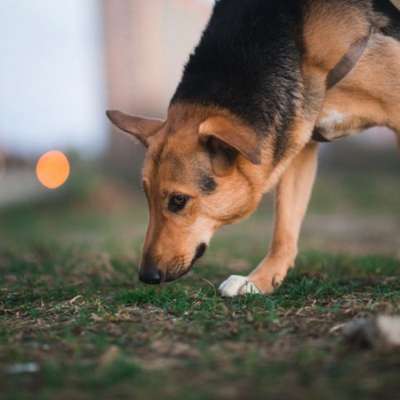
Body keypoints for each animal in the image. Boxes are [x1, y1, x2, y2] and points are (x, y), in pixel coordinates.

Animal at [105, 0, 400, 296]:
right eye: (146, 196)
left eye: (179, 200)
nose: (146, 276)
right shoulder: (296, 141)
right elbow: (284, 228)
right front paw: (258, 281)